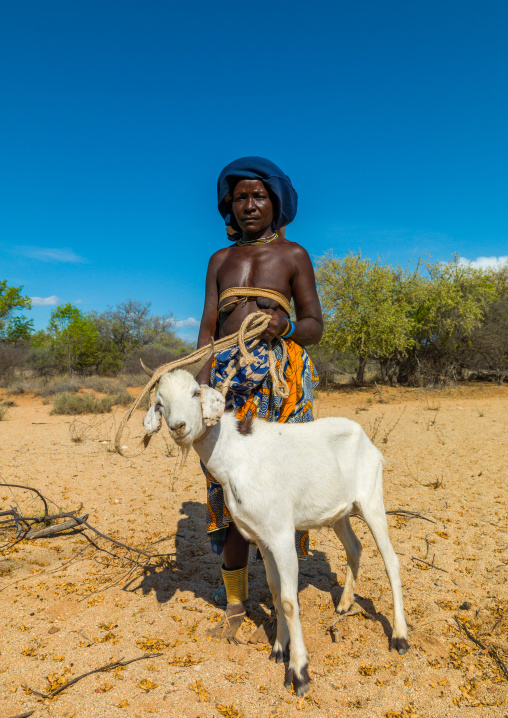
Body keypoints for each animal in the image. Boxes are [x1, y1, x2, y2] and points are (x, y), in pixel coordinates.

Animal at [143, 365, 409, 696]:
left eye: (194, 393)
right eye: (160, 403)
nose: (178, 427)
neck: (235, 456)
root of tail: (368, 441)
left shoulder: (282, 535)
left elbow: (288, 601)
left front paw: (299, 672)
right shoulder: (262, 537)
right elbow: (274, 589)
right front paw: (279, 648)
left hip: (372, 498)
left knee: (391, 561)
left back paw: (399, 637)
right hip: (339, 513)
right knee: (355, 547)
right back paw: (345, 604)